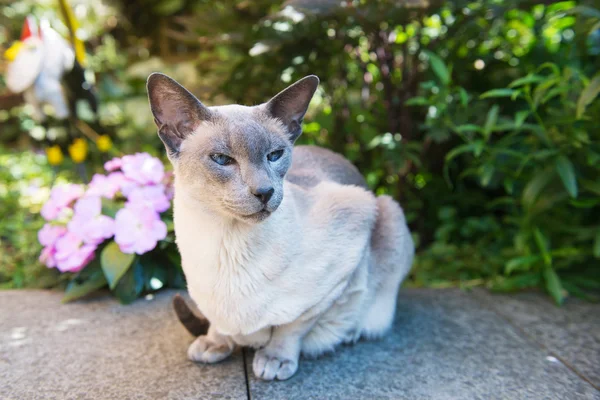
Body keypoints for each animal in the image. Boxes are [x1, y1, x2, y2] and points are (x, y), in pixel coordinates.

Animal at [148, 72, 414, 382]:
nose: (265, 192)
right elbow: (217, 322)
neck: (226, 241)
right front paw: (216, 342)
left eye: (274, 155)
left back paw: (352, 332)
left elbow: (294, 324)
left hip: (388, 210)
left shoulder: (345, 253)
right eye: (222, 159)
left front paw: (275, 359)